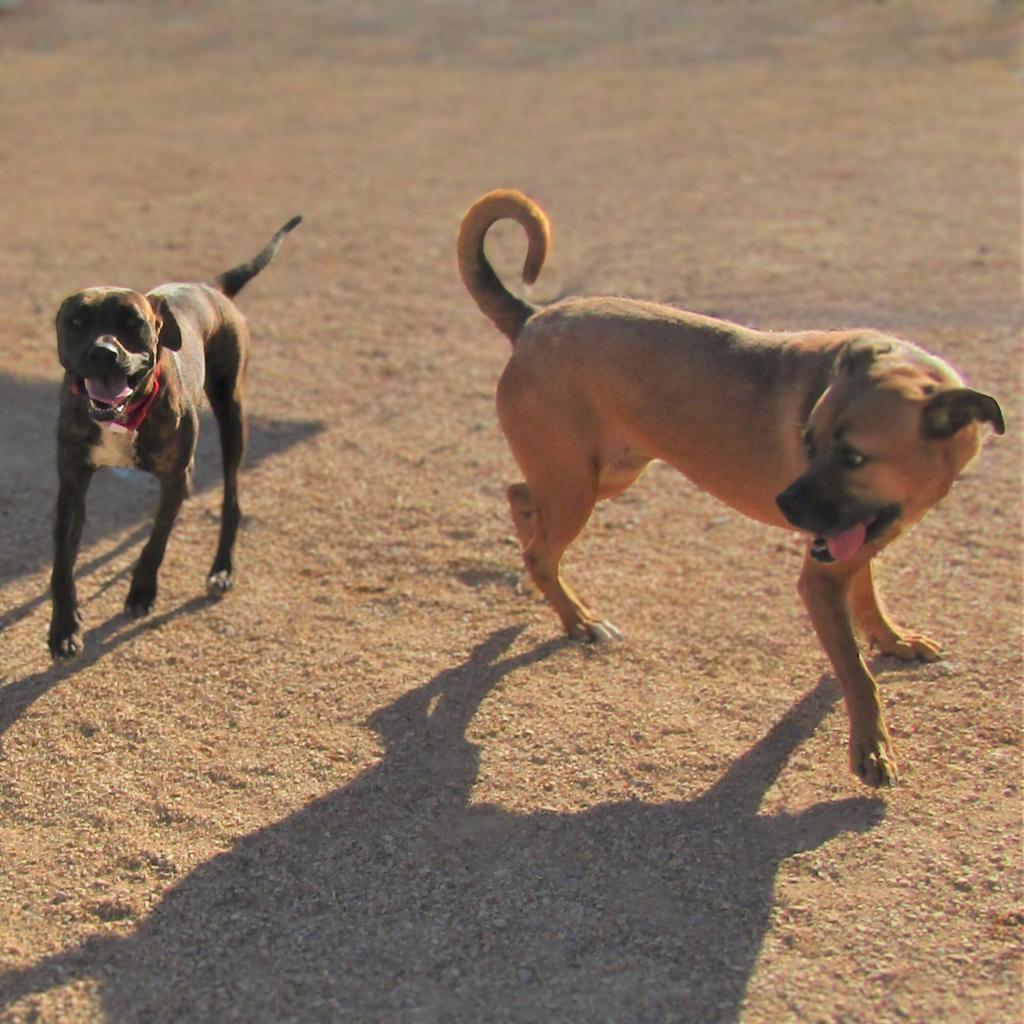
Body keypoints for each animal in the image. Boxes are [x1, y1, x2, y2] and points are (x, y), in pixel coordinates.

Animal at [48, 219, 299, 659]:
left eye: (133, 323)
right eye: (76, 323)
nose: (103, 353)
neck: (124, 415)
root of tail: (209, 286)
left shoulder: (174, 477)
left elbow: (156, 541)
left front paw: (141, 592)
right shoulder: (73, 486)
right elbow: (63, 562)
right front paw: (64, 628)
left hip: (232, 412)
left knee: (231, 499)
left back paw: (221, 569)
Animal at [460, 188, 1003, 786]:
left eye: (855, 457)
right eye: (807, 439)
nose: (786, 504)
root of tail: (533, 319)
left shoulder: (859, 537)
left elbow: (869, 598)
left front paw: (893, 640)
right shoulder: (821, 577)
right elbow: (856, 672)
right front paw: (872, 747)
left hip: (603, 473)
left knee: (522, 500)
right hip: (579, 484)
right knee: (540, 548)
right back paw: (579, 619)